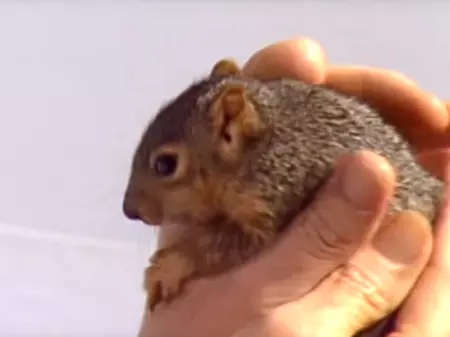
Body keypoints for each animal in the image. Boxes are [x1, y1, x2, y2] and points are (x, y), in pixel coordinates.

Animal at [122, 58, 442, 336]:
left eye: (165, 164)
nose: (129, 211)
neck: (261, 147)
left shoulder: (278, 199)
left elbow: (223, 246)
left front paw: (171, 265)